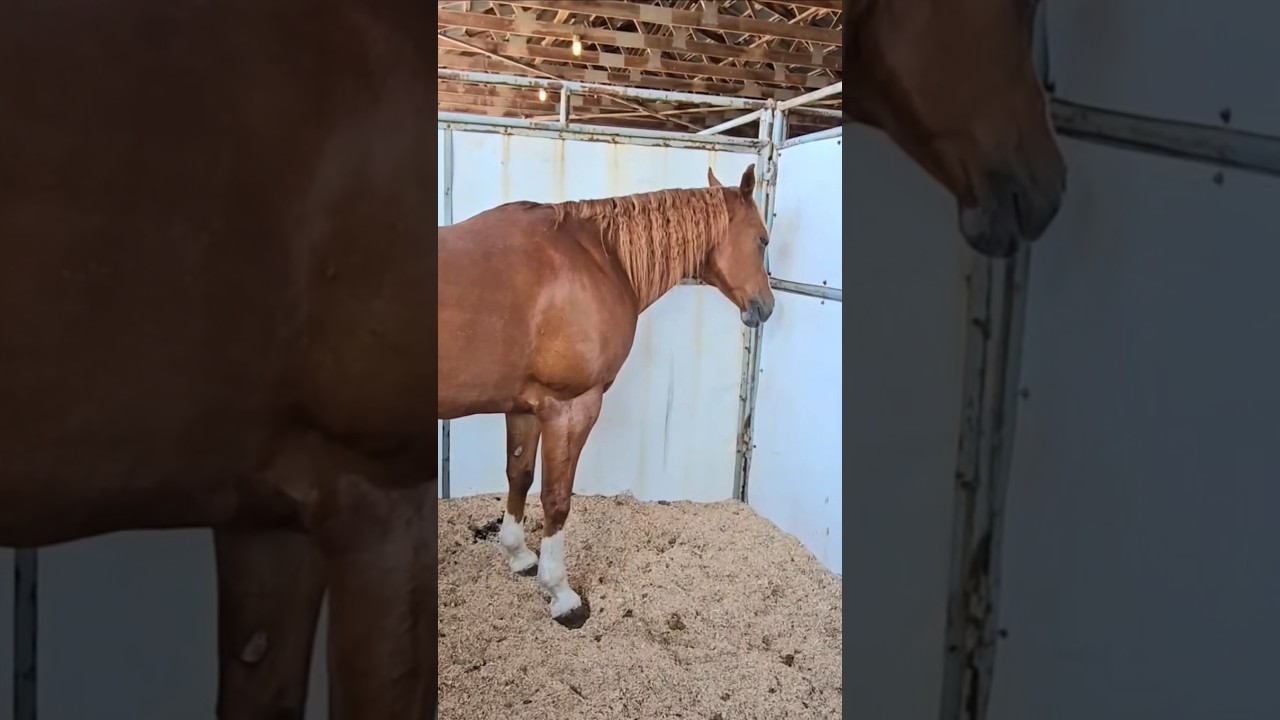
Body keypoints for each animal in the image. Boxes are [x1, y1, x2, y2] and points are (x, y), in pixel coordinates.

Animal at [438, 165, 775, 627]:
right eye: (762, 239)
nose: (767, 306)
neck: (598, 258)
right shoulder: (570, 407)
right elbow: (556, 499)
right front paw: (561, 595)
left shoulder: (525, 407)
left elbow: (519, 475)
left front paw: (519, 555)